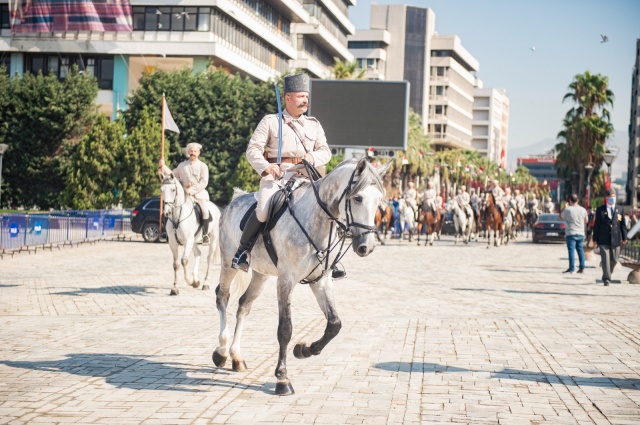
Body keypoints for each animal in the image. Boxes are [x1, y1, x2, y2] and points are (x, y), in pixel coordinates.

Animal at [214, 158, 390, 394]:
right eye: (358, 198)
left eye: (380, 200)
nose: (366, 247)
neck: (317, 220)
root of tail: (235, 198)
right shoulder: (286, 280)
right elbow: (285, 329)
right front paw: (282, 378)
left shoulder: (321, 281)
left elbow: (334, 324)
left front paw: (304, 349)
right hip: (228, 264)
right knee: (223, 297)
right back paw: (222, 351)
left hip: (261, 274)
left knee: (244, 305)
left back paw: (236, 357)